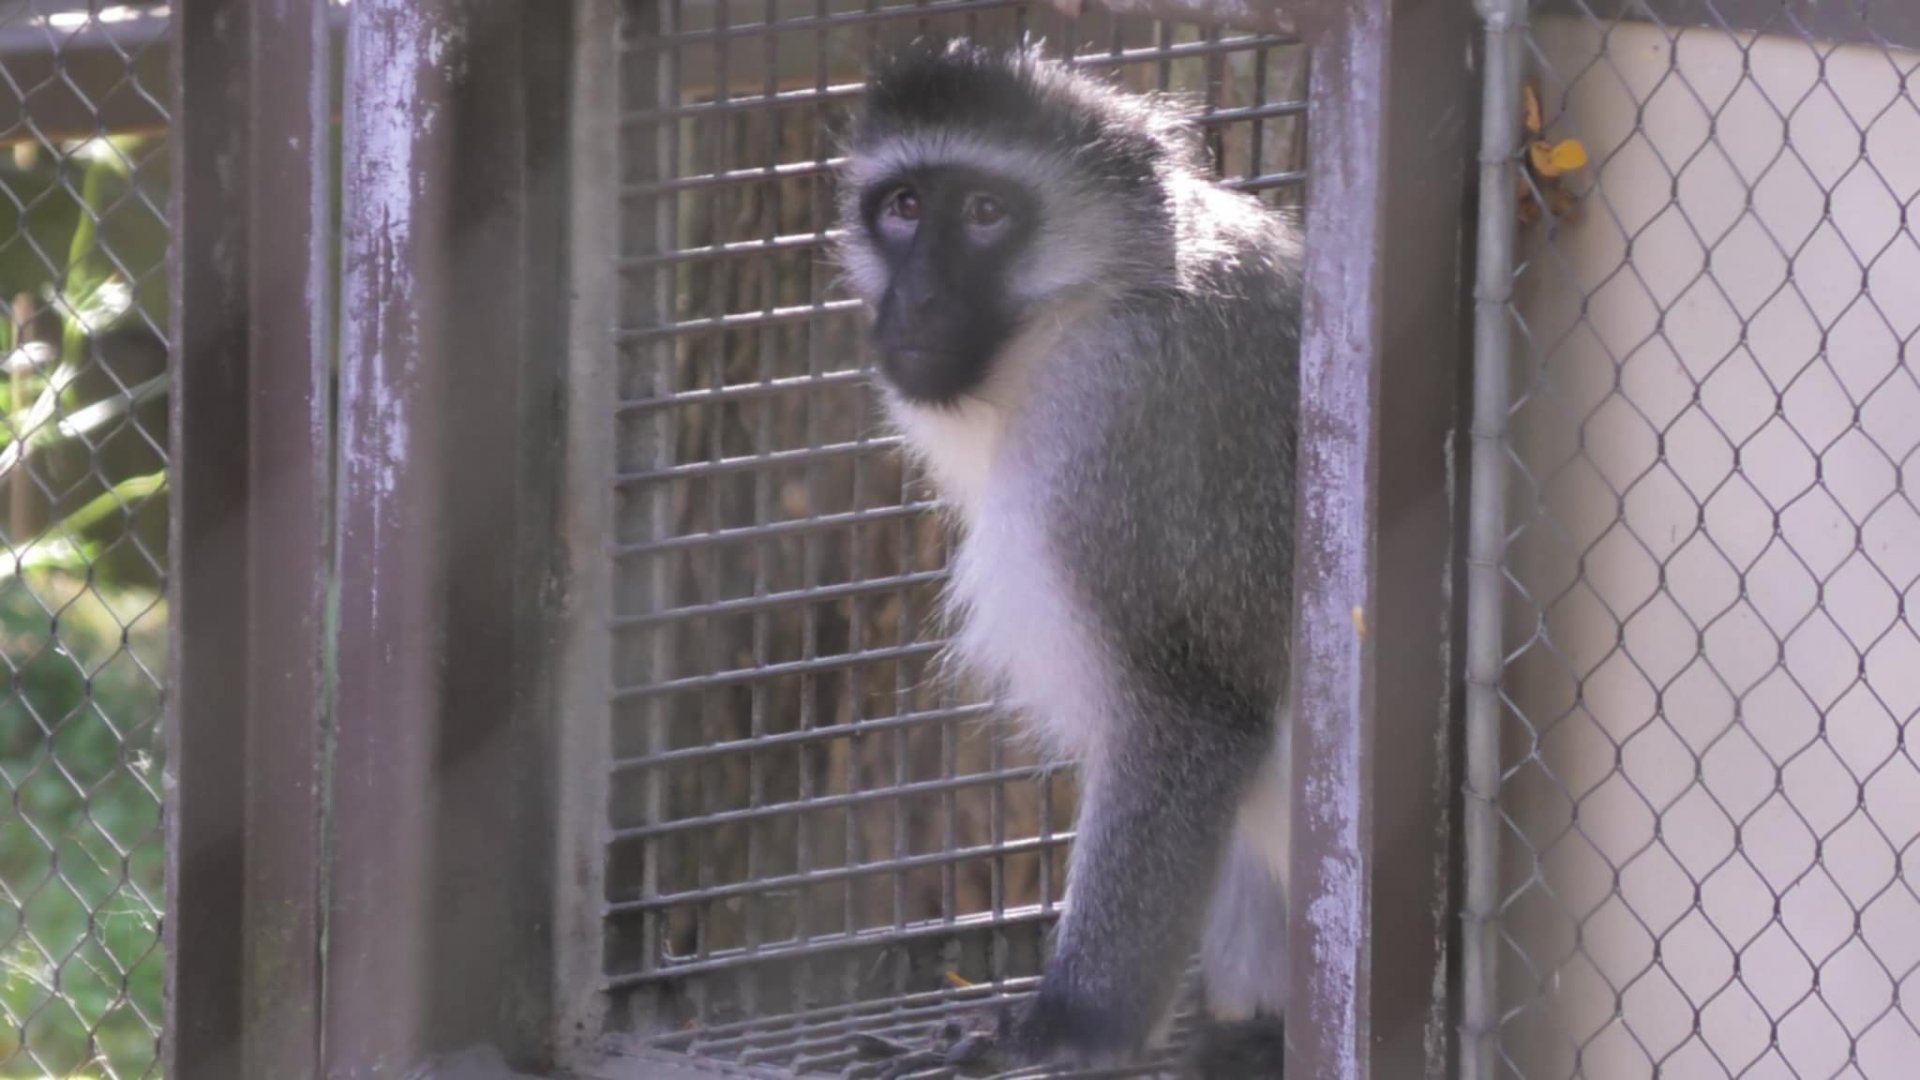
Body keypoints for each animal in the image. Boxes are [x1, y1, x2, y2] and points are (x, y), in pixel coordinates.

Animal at [833, 39, 1302, 1077]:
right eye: (904, 207)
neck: (1092, 303)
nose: (915, 299)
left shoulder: (1118, 420)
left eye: (985, 213)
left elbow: (1193, 717)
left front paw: (1075, 1023)